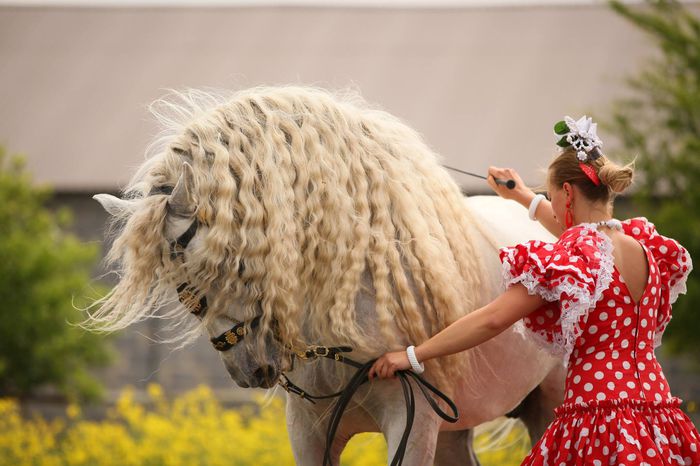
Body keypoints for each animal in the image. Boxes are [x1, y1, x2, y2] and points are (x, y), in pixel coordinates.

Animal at [91, 85, 564, 464]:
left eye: (228, 263)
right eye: (177, 285)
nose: (247, 371)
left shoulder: (412, 422)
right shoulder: (309, 428)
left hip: (543, 405)